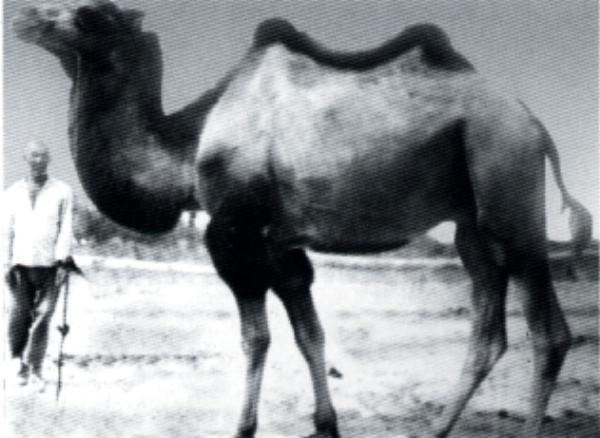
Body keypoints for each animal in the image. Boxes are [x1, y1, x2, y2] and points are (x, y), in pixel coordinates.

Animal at [13, 2, 592, 437]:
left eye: (89, 15)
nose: (24, 17)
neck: (187, 149)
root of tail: (534, 124)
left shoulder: (233, 234)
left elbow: (256, 339)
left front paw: (244, 428)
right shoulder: (281, 244)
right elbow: (309, 332)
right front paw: (326, 423)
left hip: (507, 182)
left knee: (549, 334)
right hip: (473, 223)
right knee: (487, 332)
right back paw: (435, 430)